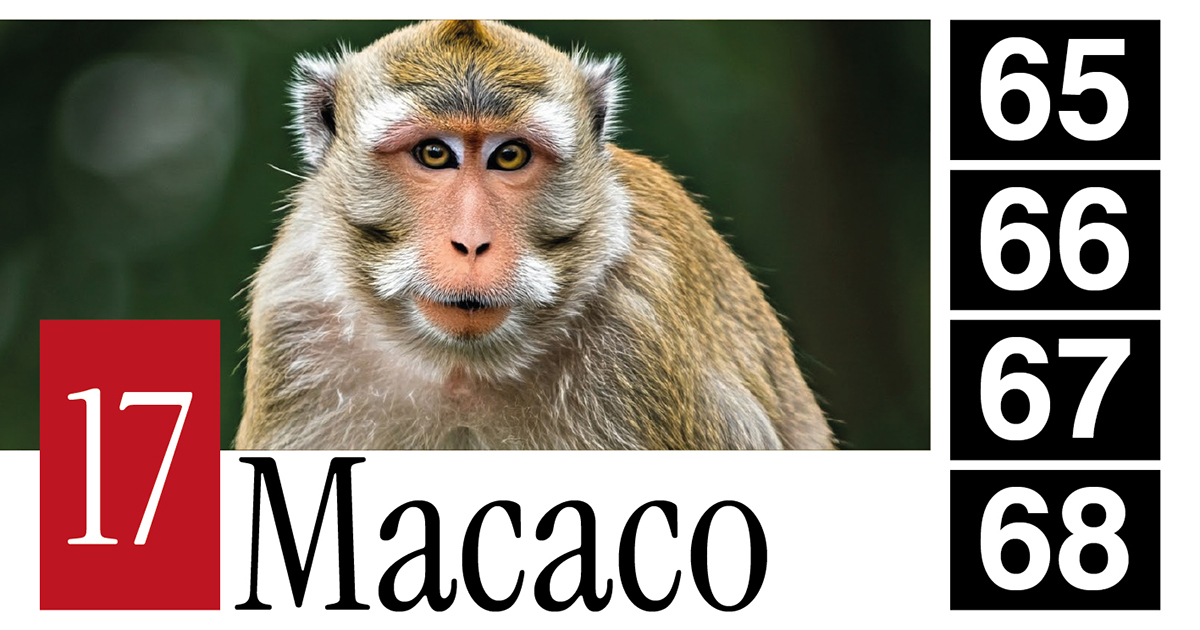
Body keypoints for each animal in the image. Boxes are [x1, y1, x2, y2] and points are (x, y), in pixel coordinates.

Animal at [234, 20, 833, 450]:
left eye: (510, 156)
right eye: (434, 153)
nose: (471, 244)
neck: (463, 373)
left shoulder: (639, 335)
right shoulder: (296, 321)